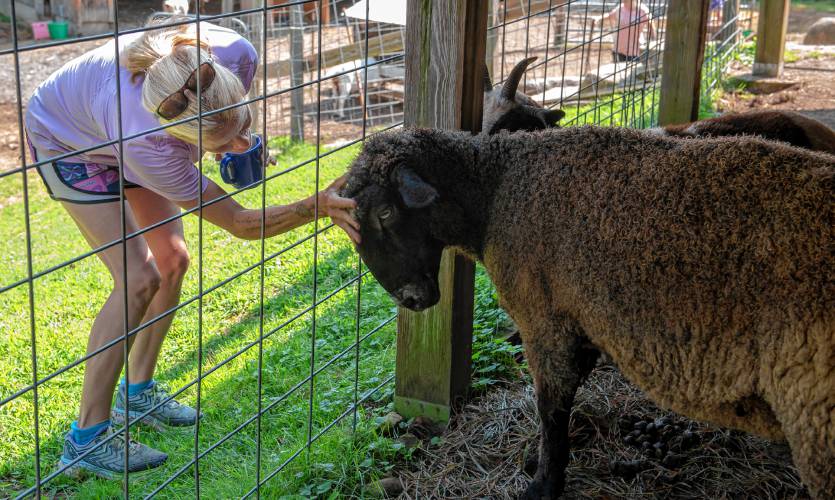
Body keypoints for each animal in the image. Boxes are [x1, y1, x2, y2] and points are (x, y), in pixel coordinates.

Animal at [342, 127, 835, 498]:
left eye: (385, 212)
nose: (411, 300)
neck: (494, 192)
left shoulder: (544, 318)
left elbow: (550, 405)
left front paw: (542, 485)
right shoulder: (581, 320)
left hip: (816, 415)